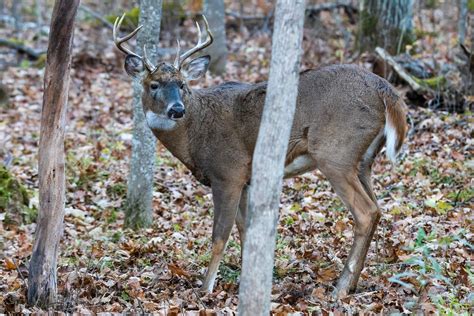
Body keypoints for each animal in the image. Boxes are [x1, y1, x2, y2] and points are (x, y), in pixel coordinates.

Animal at [113, 14, 406, 298]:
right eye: (154, 85)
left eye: (182, 84)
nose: (176, 109)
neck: (196, 133)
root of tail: (385, 90)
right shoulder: (246, 180)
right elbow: (245, 231)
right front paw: (248, 280)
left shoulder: (228, 174)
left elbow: (220, 235)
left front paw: (205, 289)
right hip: (364, 161)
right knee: (377, 209)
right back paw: (352, 284)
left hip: (335, 153)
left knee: (366, 212)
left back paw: (341, 288)